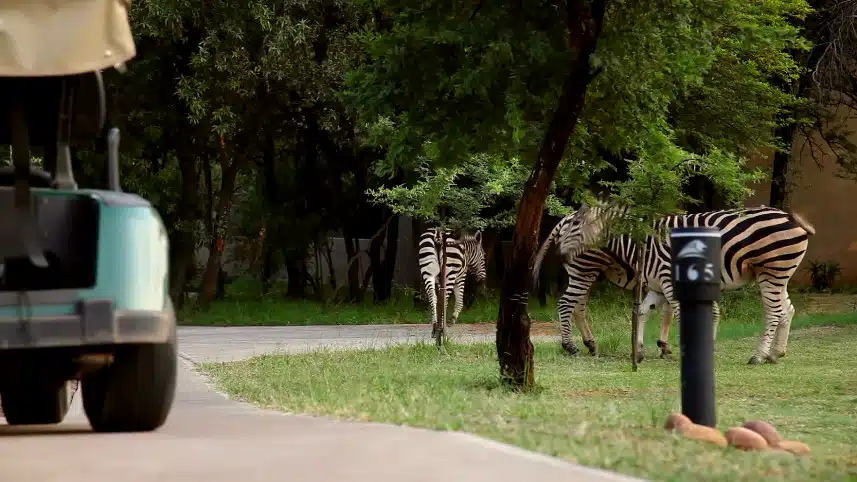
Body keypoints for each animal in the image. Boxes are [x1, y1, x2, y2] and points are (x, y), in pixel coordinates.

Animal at [532, 213, 672, 356]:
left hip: (584, 273)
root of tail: (567, 218)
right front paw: (663, 346)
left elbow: (667, 312)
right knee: (566, 303)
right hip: (585, 268)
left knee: (578, 307)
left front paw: (663, 345)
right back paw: (570, 346)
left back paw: (590, 343)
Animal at [556, 201, 816, 366]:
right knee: (787, 310)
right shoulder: (657, 284)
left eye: (577, 227)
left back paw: (759, 356)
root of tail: (789, 216)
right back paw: (776, 354)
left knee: (774, 312)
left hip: (772, 270)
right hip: (777, 273)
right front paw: (641, 351)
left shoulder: (668, 281)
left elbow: (681, 314)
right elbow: (643, 311)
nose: (560, 254)